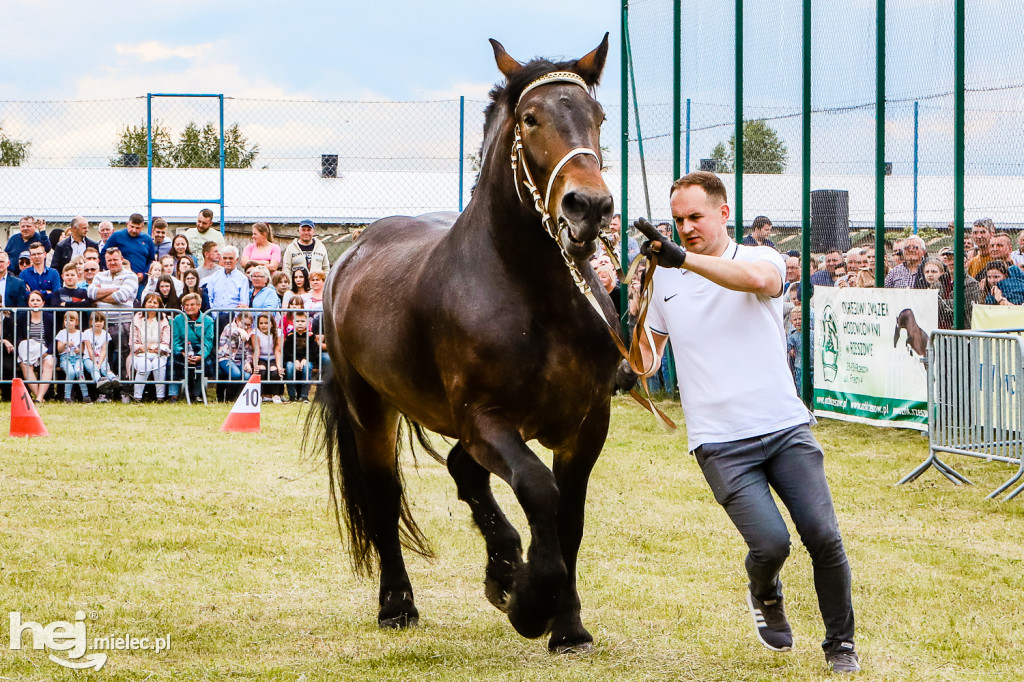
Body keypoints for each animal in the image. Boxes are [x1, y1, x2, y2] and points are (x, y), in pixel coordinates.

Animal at [303, 34, 626, 651]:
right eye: (530, 117)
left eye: (598, 117)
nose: (589, 207)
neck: (536, 297)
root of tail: (349, 257)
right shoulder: (485, 419)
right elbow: (539, 489)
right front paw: (531, 602)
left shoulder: (587, 424)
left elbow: (569, 517)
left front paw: (566, 624)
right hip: (370, 409)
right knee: (384, 497)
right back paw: (398, 603)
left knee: (463, 471)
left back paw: (501, 568)